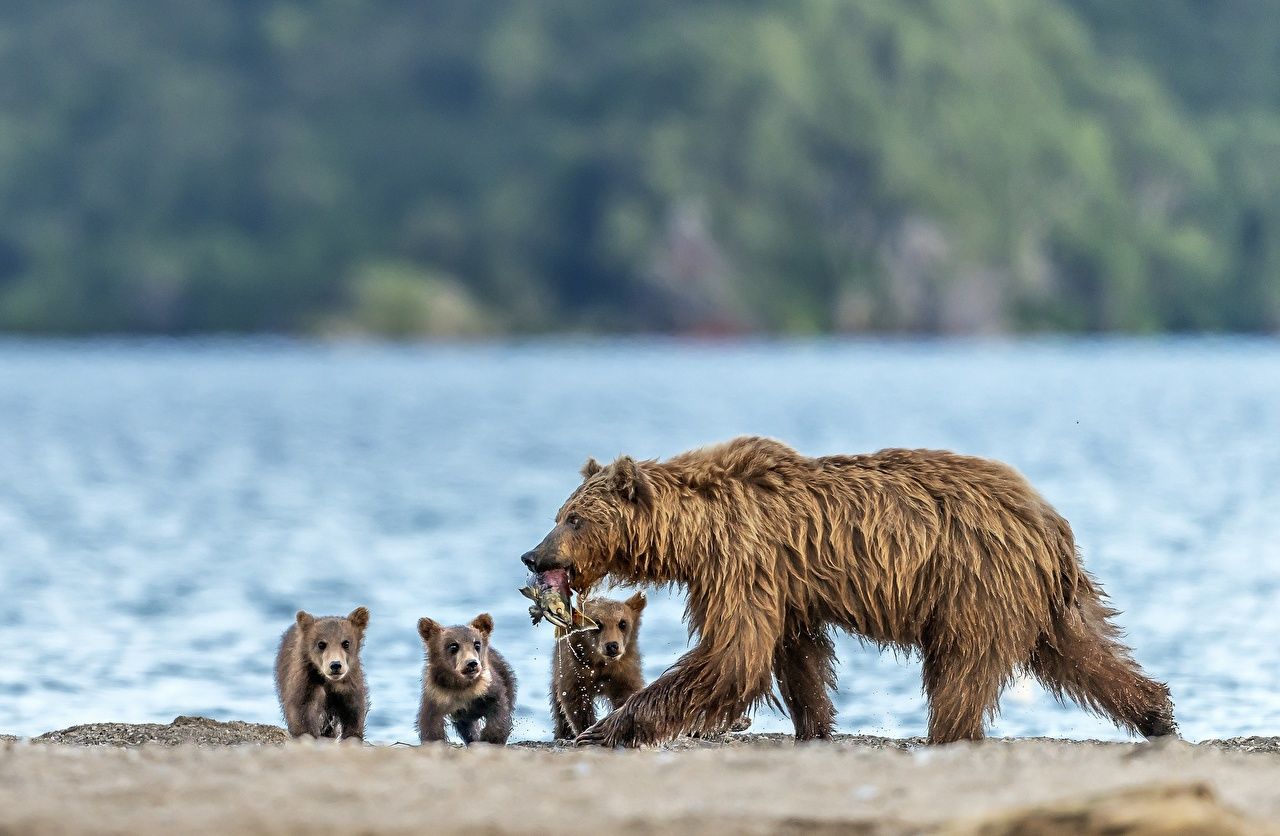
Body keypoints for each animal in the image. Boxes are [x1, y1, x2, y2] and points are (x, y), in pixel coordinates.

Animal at [275, 607, 369, 741]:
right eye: (321, 644)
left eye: (346, 643)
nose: (335, 665)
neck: (329, 681)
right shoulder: (307, 684)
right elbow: (301, 711)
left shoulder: (349, 686)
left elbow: (354, 711)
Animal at [417, 613, 517, 745]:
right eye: (454, 646)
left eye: (477, 644)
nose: (472, 663)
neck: (462, 686)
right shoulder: (436, 695)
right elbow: (430, 723)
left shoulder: (487, 688)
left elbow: (499, 708)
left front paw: (491, 738)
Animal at [550, 592, 648, 740]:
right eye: (598, 623)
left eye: (622, 623)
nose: (612, 646)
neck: (601, 663)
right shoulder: (576, 669)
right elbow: (576, 701)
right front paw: (587, 728)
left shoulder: (623, 671)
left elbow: (627, 693)